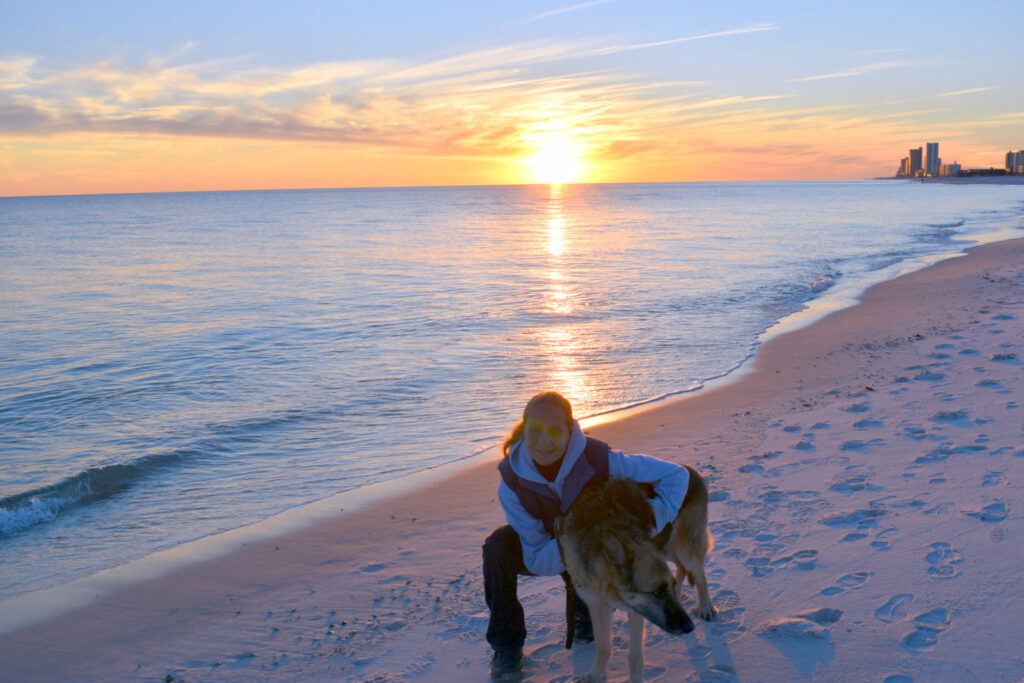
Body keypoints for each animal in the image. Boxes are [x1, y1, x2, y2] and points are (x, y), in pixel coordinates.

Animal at [557, 471, 716, 683]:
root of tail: (691, 470)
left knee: (698, 572)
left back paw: (705, 606)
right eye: (657, 592)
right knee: (681, 567)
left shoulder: (637, 611)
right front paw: (596, 674)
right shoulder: (597, 605)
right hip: (666, 547)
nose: (690, 627)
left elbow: (635, 656)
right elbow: (603, 646)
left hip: (684, 547)